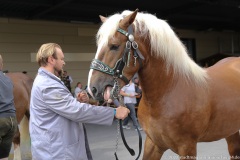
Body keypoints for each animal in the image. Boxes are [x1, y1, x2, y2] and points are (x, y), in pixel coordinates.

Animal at [87, 9, 240, 159]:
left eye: (114, 46)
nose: (93, 88)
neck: (168, 92)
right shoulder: (153, 143)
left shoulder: (187, 147)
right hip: (231, 131)